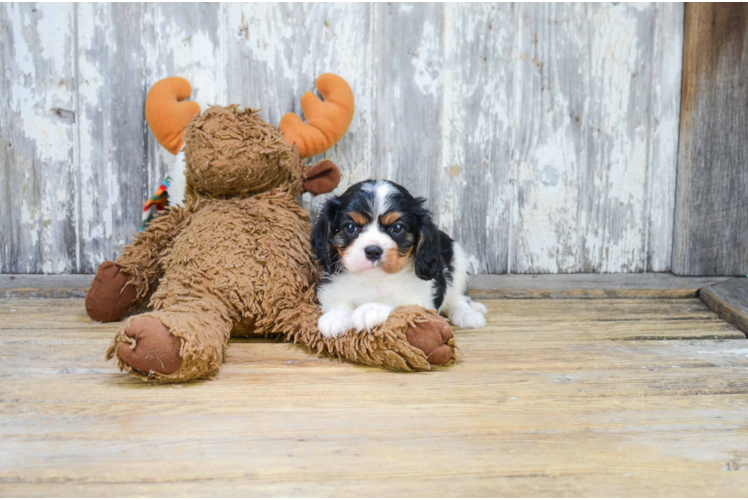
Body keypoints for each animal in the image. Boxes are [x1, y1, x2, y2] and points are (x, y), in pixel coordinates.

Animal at [308, 178, 486, 338]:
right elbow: (338, 301)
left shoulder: (419, 298)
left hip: (458, 260)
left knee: (458, 298)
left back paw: (468, 314)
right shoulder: (331, 289)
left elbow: (395, 299)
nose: (373, 251)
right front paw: (335, 316)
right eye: (351, 227)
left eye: (397, 228)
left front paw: (369, 309)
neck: (373, 279)